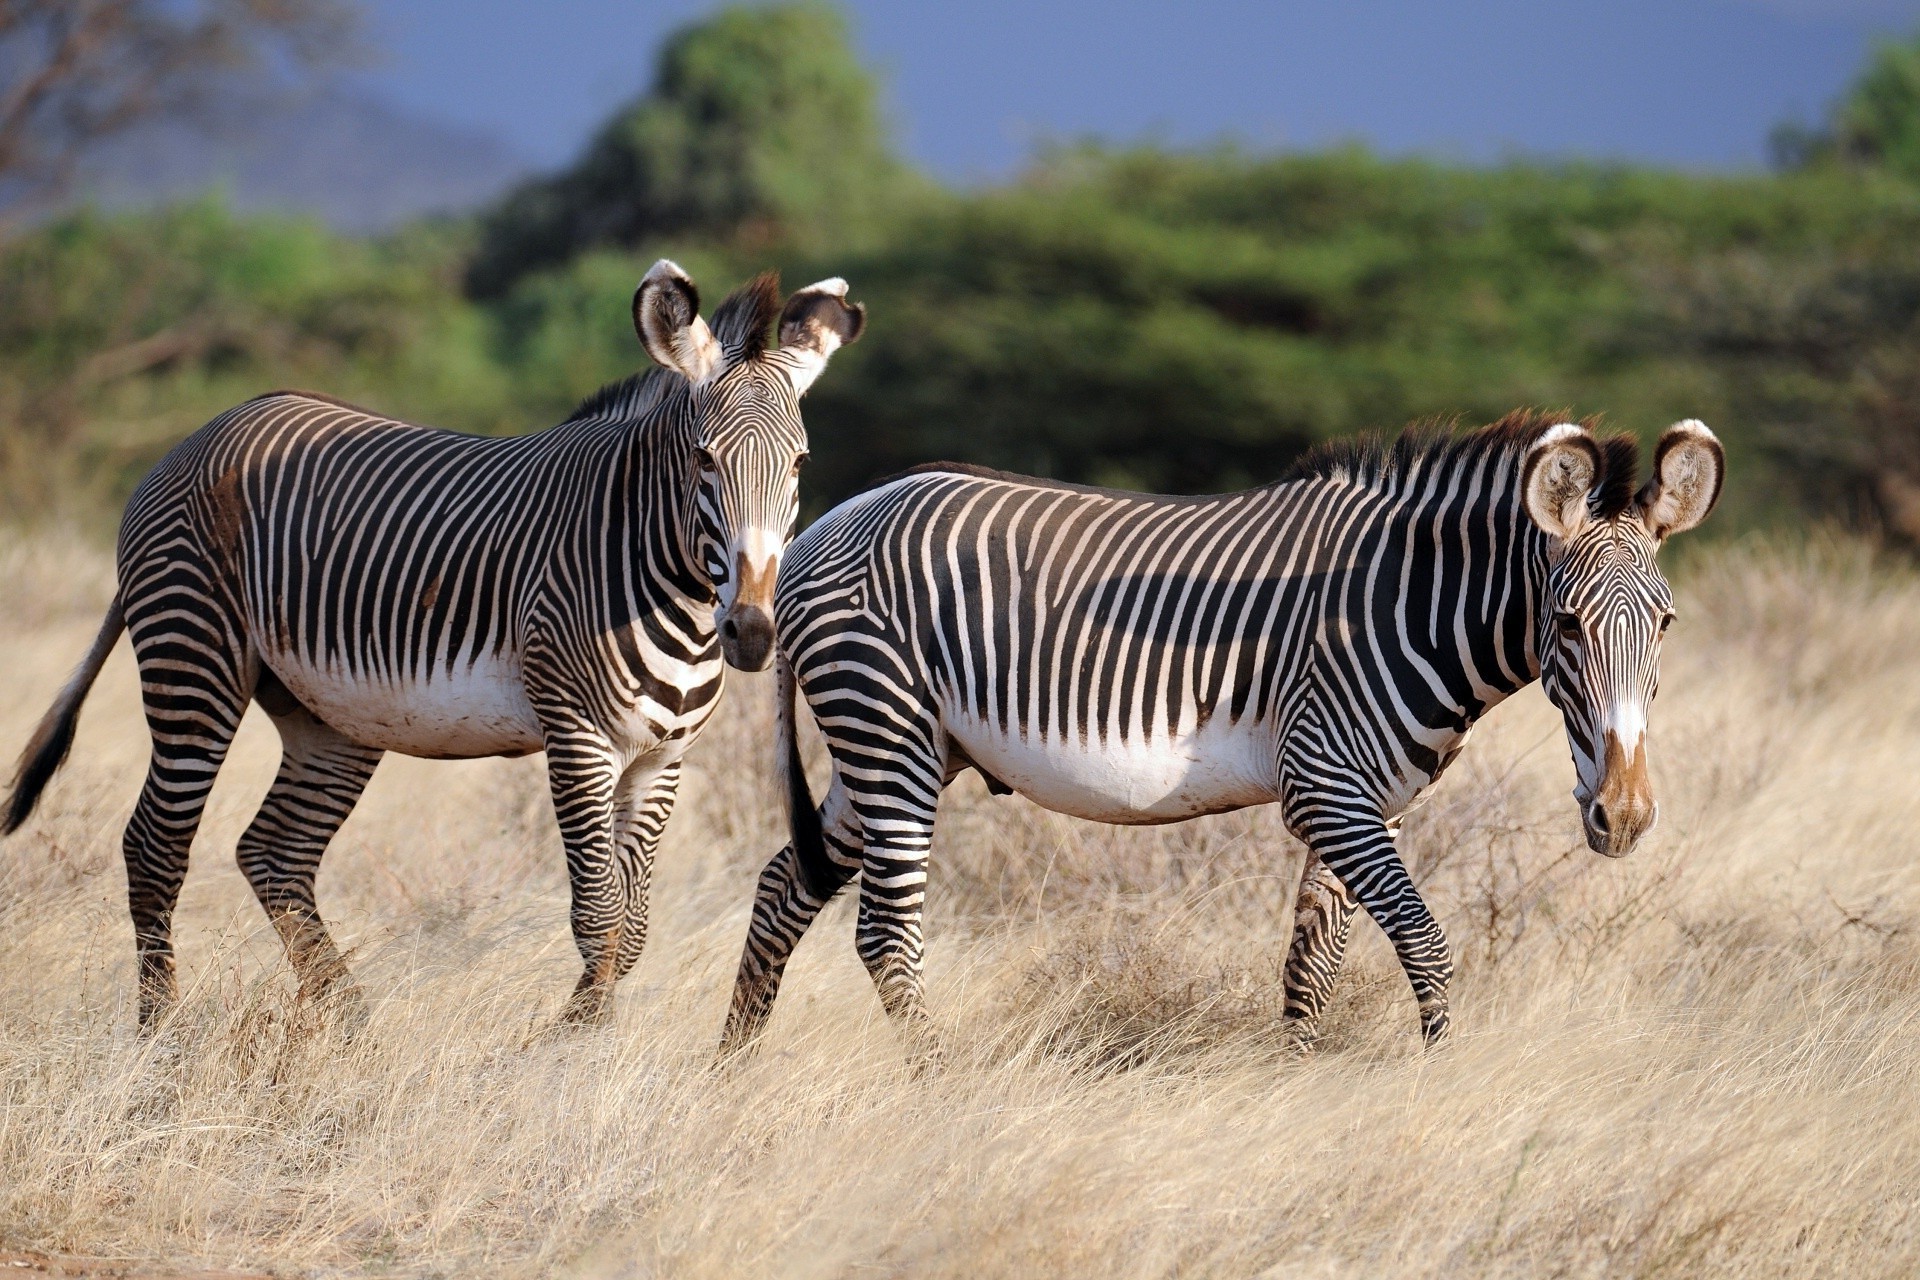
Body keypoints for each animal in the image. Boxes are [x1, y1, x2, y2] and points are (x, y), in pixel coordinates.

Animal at [3, 264, 867, 1036]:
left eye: (799, 464)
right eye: (703, 460)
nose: (751, 632)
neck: (666, 579)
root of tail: (199, 435)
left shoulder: (663, 756)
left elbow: (634, 928)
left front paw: (589, 1037)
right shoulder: (577, 736)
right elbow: (599, 917)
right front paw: (571, 1055)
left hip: (330, 718)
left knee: (274, 853)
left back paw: (354, 1030)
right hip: (193, 659)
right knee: (155, 847)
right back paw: (162, 1036)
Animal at [721, 410, 1728, 1051]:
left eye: (1667, 624)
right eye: (1568, 626)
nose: (1623, 817)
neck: (1405, 605)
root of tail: (822, 528)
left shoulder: (1369, 802)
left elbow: (1313, 963)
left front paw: (1295, 1093)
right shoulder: (1324, 784)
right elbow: (1425, 942)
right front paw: (1442, 1082)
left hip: (906, 748)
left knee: (782, 887)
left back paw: (733, 1073)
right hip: (884, 725)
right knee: (886, 935)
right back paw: (937, 1089)